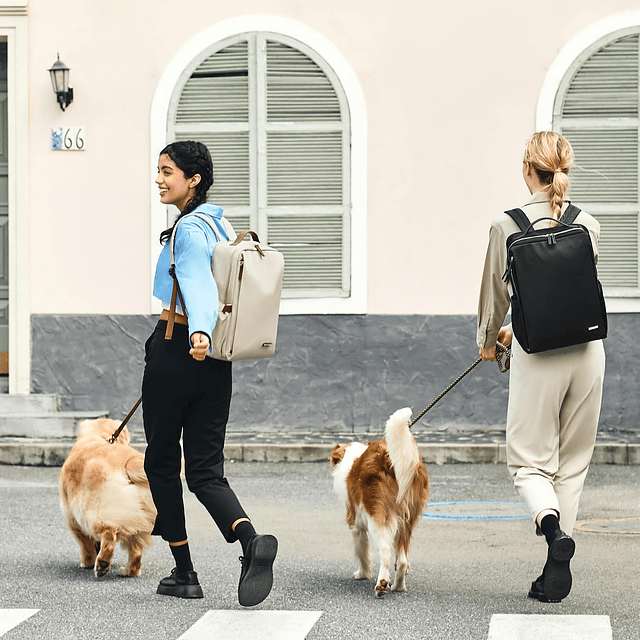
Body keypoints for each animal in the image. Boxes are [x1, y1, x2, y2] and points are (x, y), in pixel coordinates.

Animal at [58, 418, 156, 576]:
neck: (99, 436)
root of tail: (128, 462)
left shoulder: (72, 518)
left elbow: (85, 543)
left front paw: (87, 561)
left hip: (95, 511)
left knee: (109, 534)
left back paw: (102, 563)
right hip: (140, 516)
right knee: (136, 549)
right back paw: (129, 571)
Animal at [330, 408, 430, 596]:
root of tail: (386, 457)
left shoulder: (355, 523)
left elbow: (362, 553)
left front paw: (363, 574)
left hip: (377, 517)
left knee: (385, 551)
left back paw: (382, 584)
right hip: (407, 519)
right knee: (402, 559)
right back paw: (398, 586)